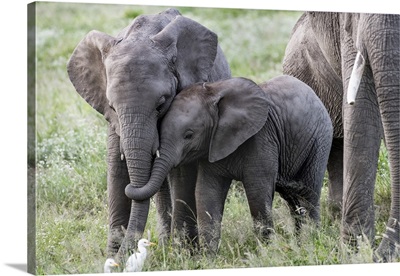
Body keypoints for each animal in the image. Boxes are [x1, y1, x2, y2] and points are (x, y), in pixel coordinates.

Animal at [67, 8, 230, 264]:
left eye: (161, 103)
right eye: (112, 107)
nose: (123, 258)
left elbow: (182, 173)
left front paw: (183, 256)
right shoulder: (114, 124)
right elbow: (116, 169)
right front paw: (111, 258)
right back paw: (163, 245)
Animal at [126, 75, 332, 252]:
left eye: (189, 135)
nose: (129, 187)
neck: (215, 93)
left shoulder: (261, 138)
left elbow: (258, 194)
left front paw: (266, 253)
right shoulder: (213, 145)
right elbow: (207, 193)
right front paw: (208, 259)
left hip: (320, 141)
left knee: (309, 194)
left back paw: (312, 240)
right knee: (294, 200)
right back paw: (300, 243)